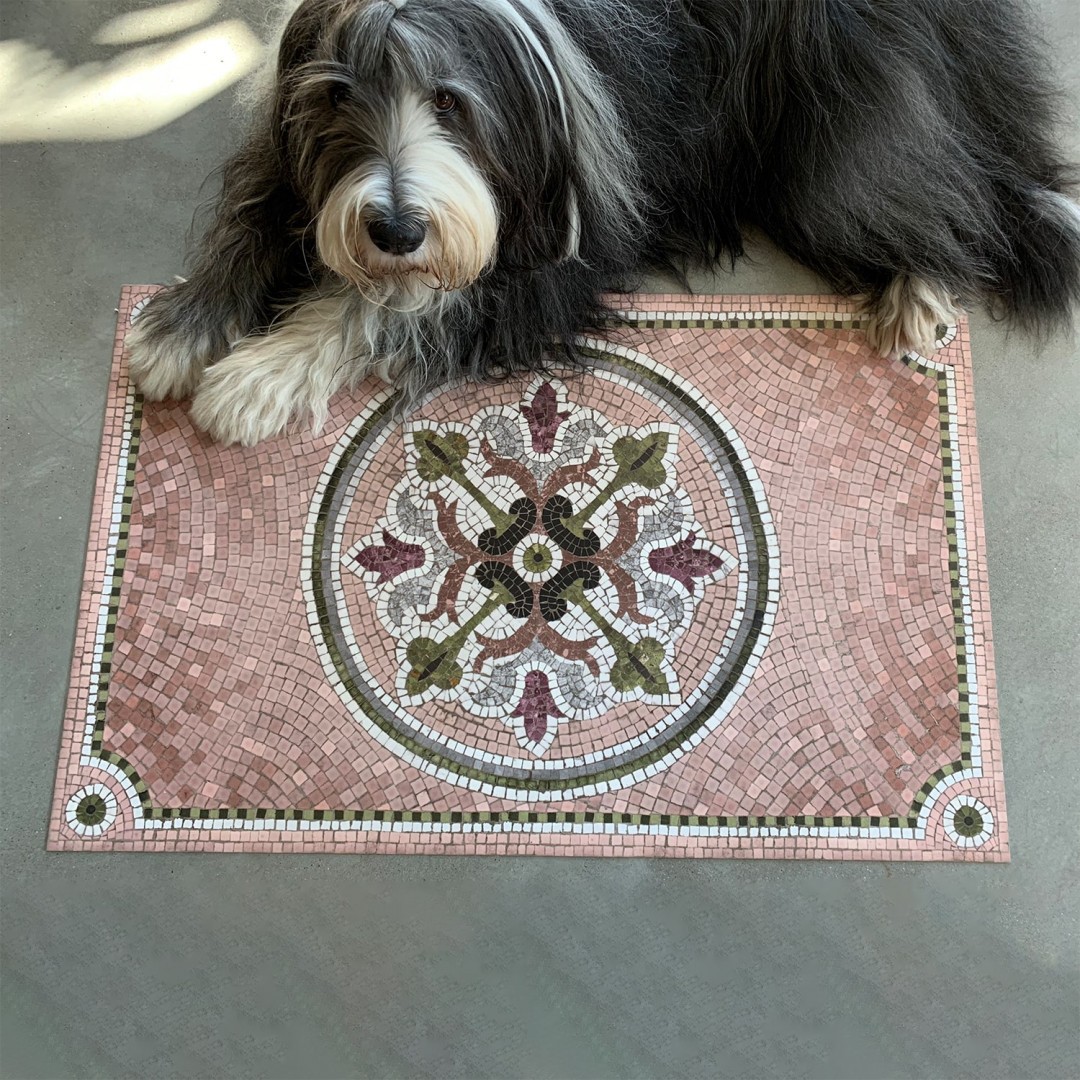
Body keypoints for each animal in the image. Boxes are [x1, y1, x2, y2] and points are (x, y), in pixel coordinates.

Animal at [124, 0, 1071, 447]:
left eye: (449, 102)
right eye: (338, 97)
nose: (392, 231)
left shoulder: (558, 241)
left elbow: (391, 303)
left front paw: (256, 378)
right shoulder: (291, 138)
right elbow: (258, 203)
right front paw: (182, 325)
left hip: (837, 121)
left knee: (930, 181)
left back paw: (920, 284)